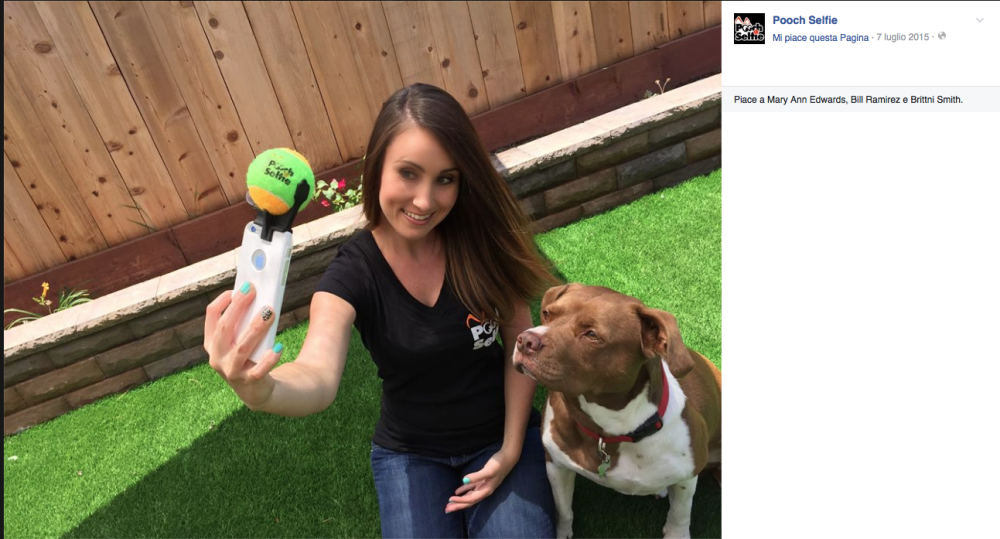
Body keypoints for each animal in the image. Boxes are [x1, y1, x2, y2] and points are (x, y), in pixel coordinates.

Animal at [513, 284, 721, 539]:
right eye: (547, 314)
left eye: (592, 334)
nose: (525, 340)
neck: (610, 429)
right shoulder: (556, 464)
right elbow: (563, 510)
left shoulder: (688, 476)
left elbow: (679, 517)